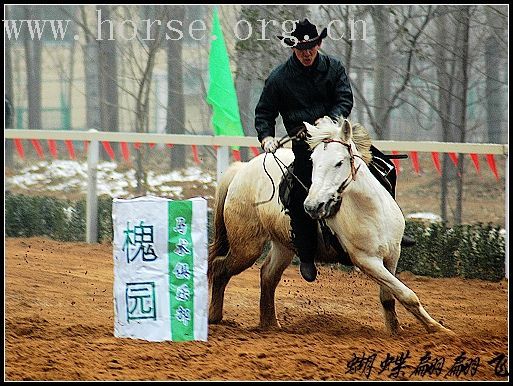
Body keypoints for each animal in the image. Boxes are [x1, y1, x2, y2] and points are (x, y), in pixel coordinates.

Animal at [206, 117, 450, 334]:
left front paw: (396, 331)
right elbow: (407, 294)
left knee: (268, 275)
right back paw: (214, 317)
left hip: (283, 246)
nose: (313, 206)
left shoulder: (392, 255)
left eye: (339, 162)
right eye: (313, 162)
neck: (370, 209)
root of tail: (242, 170)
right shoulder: (366, 261)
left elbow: (389, 297)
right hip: (246, 246)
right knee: (220, 268)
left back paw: (270, 324)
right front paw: (440, 330)